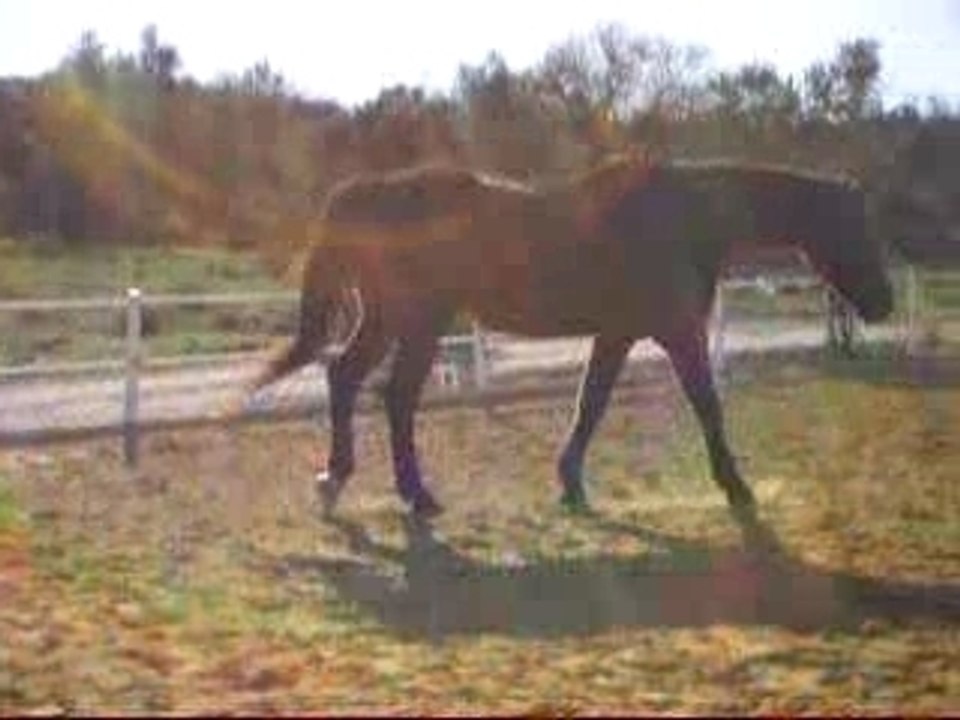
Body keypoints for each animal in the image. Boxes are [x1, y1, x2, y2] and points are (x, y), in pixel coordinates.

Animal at [246, 154, 894, 522]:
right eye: (855, 225)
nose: (884, 304)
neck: (680, 216)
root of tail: (368, 191)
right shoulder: (676, 331)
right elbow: (706, 405)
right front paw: (736, 488)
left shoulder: (618, 333)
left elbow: (592, 403)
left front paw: (571, 485)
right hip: (418, 320)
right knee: (389, 393)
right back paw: (403, 493)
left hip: (397, 320)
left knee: (351, 380)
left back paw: (348, 483)